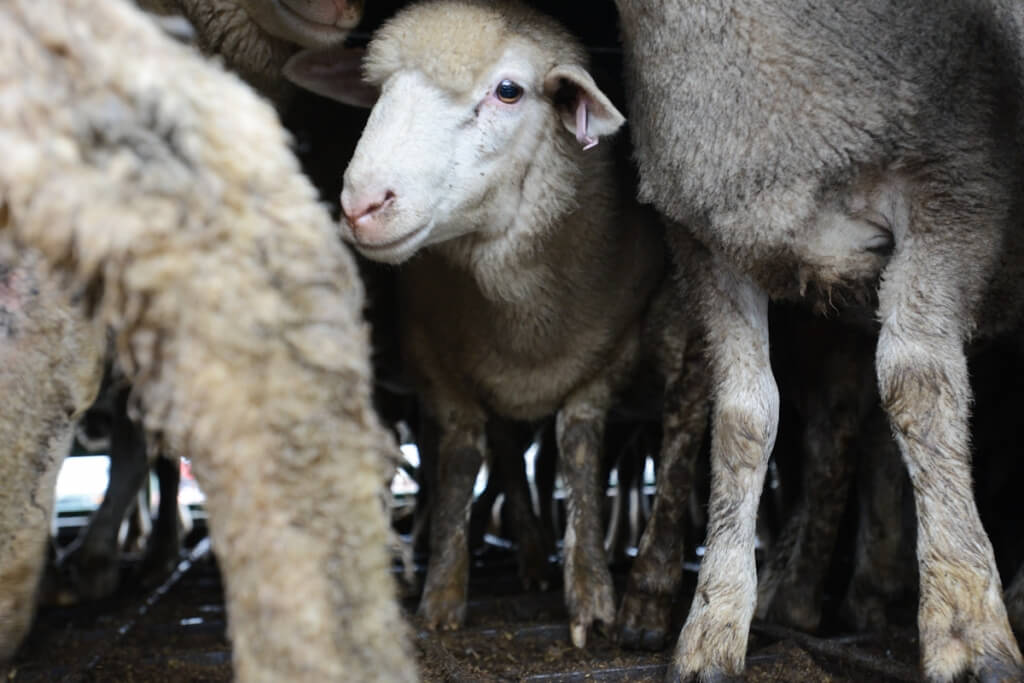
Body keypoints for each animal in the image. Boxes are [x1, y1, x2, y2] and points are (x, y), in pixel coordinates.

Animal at [610, 0, 1024, 679]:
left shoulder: (957, 191)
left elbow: (917, 384)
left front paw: (965, 624)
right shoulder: (711, 240)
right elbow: (742, 418)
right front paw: (713, 626)